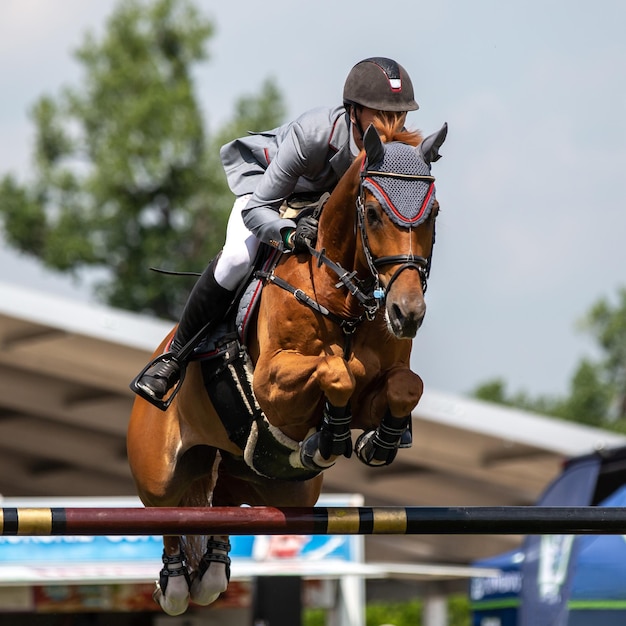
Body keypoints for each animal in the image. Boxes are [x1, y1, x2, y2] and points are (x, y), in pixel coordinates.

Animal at [125, 118, 444, 616]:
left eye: (433, 215)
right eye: (373, 214)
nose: (406, 313)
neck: (343, 298)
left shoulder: (384, 382)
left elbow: (404, 386)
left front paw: (375, 441)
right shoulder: (272, 388)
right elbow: (337, 371)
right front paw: (330, 435)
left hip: (280, 485)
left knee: (228, 497)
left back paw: (212, 571)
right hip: (159, 472)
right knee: (169, 512)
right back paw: (176, 582)